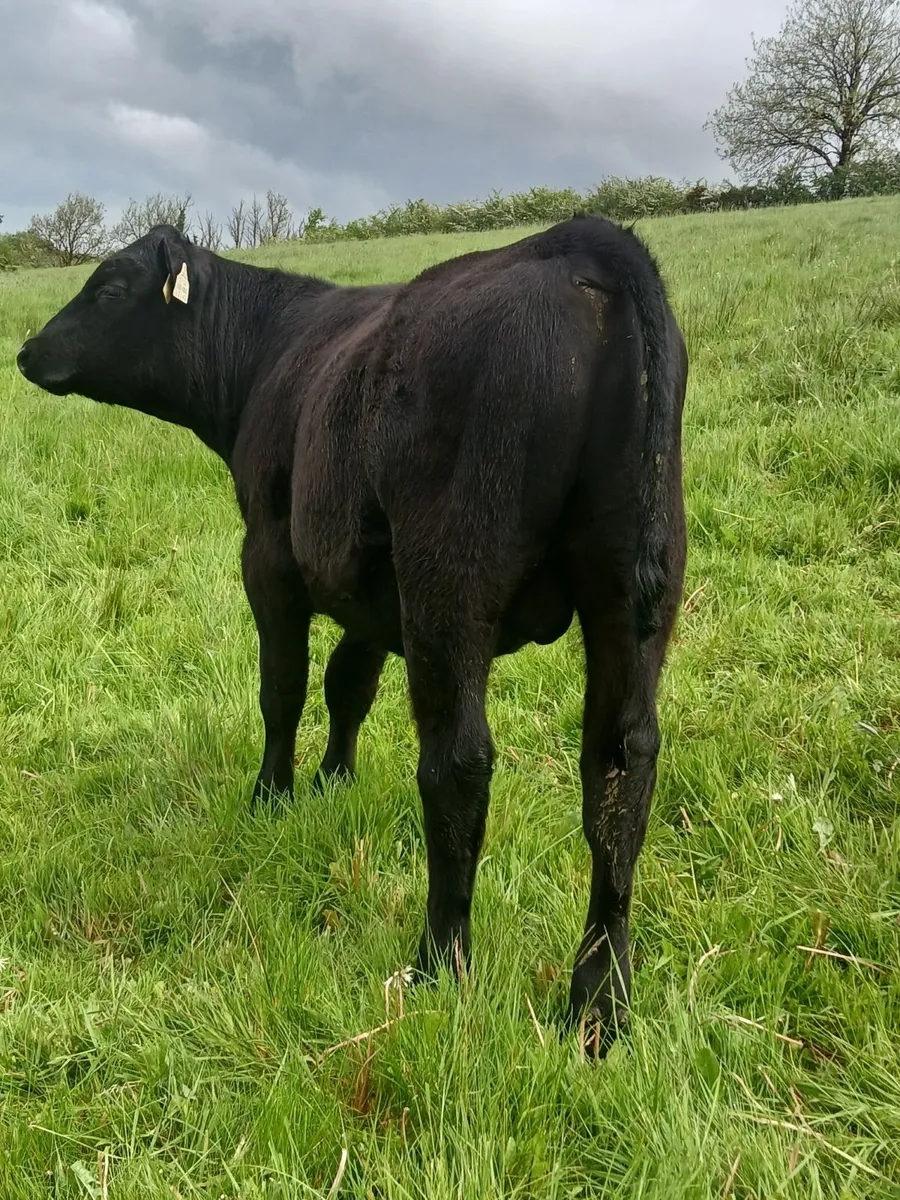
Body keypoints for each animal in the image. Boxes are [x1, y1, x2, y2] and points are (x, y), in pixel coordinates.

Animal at [17, 214, 687, 1054]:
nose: (27, 350)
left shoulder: (270, 553)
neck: (265, 352)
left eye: (108, 288)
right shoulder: (370, 589)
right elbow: (348, 686)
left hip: (449, 576)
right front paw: (334, 779)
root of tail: (585, 237)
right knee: (620, 771)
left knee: (459, 762)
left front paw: (271, 795)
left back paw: (438, 964)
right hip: (629, 594)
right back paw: (599, 1003)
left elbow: (284, 688)